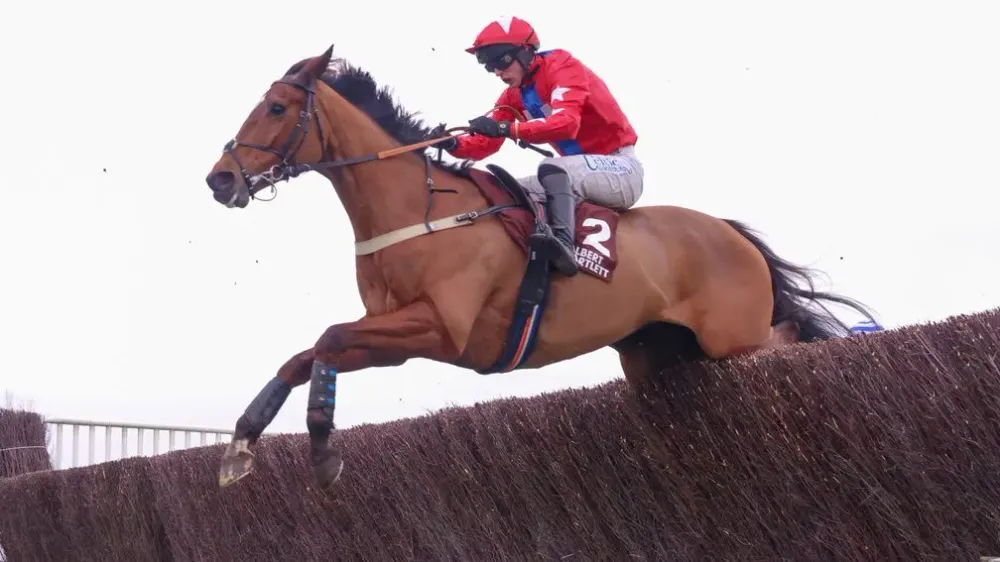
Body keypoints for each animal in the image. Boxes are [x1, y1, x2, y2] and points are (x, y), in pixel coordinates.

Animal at [204, 45, 877, 491]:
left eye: (276, 107)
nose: (221, 180)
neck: (419, 208)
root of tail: (729, 231)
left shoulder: (440, 328)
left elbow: (326, 339)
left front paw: (321, 448)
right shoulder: (395, 336)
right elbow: (304, 355)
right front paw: (240, 445)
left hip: (734, 337)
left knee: (787, 338)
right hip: (658, 354)